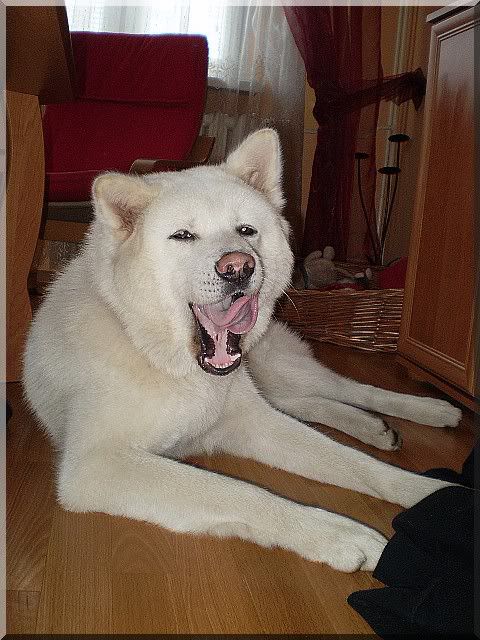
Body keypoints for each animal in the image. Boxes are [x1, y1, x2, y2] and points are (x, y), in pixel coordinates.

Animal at [23, 129, 462, 572]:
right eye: (183, 236)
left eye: (246, 230)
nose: (238, 266)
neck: (160, 356)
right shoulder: (96, 464)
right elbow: (241, 493)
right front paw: (340, 534)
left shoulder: (252, 420)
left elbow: (358, 465)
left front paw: (436, 495)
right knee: (309, 403)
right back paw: (374, 427)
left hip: (277, 369)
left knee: (347, 389)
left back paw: (429, 411)